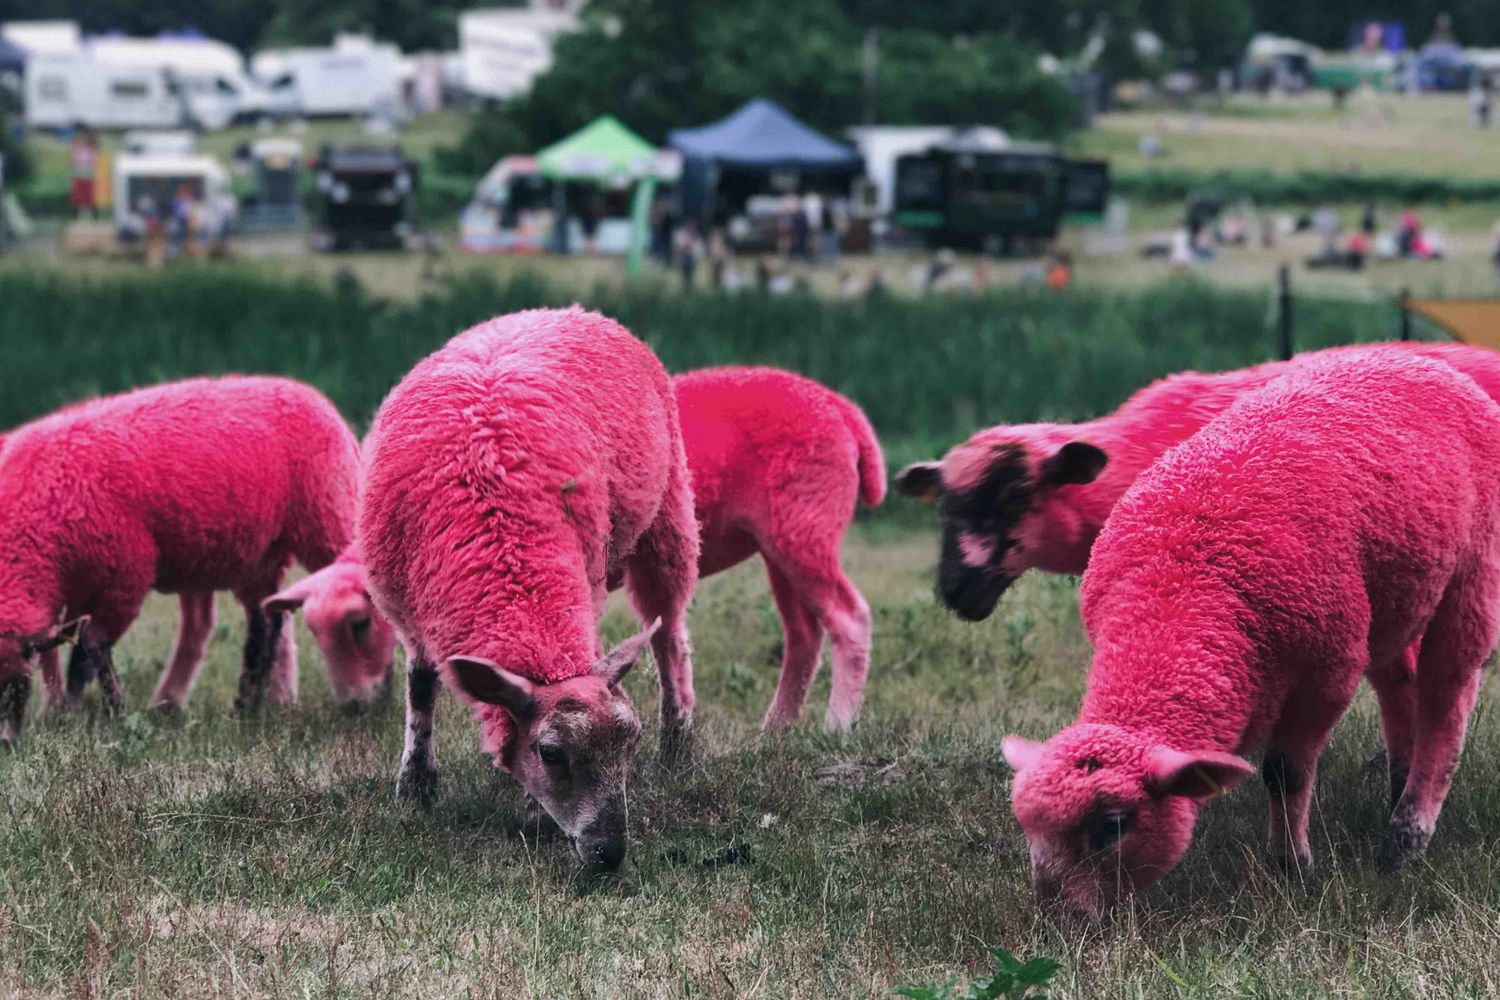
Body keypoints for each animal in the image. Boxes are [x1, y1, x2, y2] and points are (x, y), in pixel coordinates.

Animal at [0, 374, 360, 743]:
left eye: (15, 683)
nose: (6, 742)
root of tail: (312, 396)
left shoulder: (128, 574)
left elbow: (91, 644)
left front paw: (109, 713)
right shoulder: (78, 589)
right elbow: (75, 649)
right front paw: (68, 710)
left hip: (326, 517)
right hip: (260, 554)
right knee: (266, 620)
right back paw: (247, 707)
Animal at [282, 367, 882, 728]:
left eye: (361, 624)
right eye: (314, 632)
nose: (354, 708)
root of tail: (838, 405)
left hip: (805, 526)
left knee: (849, 618)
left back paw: (837, 725)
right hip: (781, 542)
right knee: (804, 634)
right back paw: (776, 730)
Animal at [360, 305, 699, 869]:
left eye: (630, 744)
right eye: (551, 753)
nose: (609, 852)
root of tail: (571, 309)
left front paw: (533, 812)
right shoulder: (407, 606)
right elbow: (421, 684)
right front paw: (416, 786)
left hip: (669, 512)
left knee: (669, 634)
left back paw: (679, 742)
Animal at [1002, 347, 1500, 917]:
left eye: (1113, 825)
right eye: (1026, 825)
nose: (1057, 917)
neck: (1178, 591)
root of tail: (1416, 359)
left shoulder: (1328, 670)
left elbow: (1285, 770)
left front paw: (1292, 866)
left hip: (1472, 571)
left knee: (1446, 696)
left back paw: (1404, 838)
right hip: (1390, 600)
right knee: (1401, 686)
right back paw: (1397, 791)